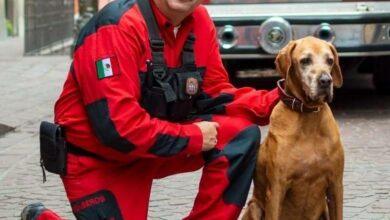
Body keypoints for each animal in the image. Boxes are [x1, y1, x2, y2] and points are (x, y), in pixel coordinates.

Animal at [242, 36, 346, 220]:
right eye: (305, 61)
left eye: (330, 61)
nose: (326, 81)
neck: (309, 117)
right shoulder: (276, 189)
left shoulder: (335, 185)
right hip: (254, 206)